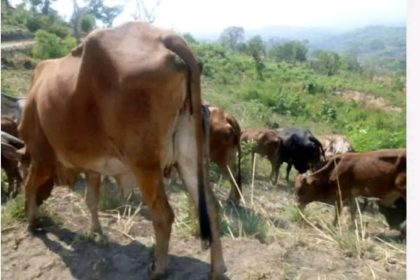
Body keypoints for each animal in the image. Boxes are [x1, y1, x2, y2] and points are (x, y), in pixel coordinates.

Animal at [19, 21, 225, 278]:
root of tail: (166, 37)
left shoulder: (41, 157)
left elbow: (29, 186)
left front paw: (31, 222)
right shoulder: (93, 167)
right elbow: (91, 200)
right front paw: (97, 233)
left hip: (144, 163)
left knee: (164, 216)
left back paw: (158, 268)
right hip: (189, 157)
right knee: (211, 208)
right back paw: (216, 269)